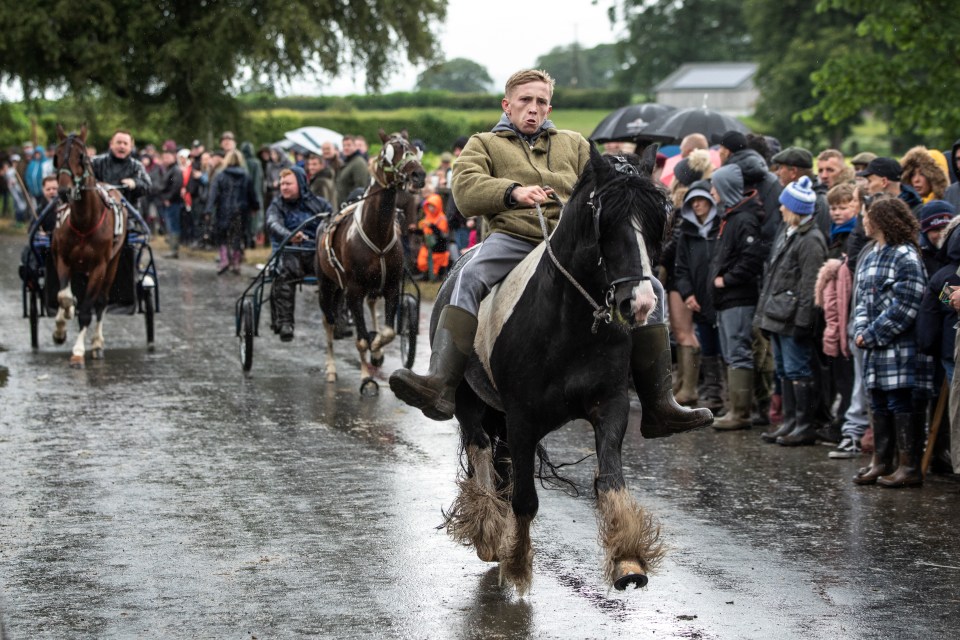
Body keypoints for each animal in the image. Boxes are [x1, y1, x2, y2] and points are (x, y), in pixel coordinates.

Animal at [50, 124, 127, 370]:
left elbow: (87, 310)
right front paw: (60, 328)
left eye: (81, 157)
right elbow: (63, 297)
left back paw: (97, 344)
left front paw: (78, 351)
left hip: (113, 263)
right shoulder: (63, 260)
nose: (63, 192)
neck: (85, 221)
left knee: (101, 303)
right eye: (56, 156)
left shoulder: (99, 267)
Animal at [316, 130, 426, 390]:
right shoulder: (354, 290)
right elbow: (361, 340)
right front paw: (366, 377)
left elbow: (387, 333)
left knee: (372, 304)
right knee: (329, 322)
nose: (418, 175)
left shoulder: (391, 286)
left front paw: (377, 351)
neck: (377, 232)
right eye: (388, 152)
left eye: (413, 149)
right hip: (327, 284)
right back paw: (331, 368)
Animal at [438, 146, 672, 596]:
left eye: (657, 220)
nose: (642, 303)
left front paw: (628, 560)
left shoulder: (610, 406)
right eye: (608, 221)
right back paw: (490, 534)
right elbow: (525, 499)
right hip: (470, 404)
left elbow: (610, 479)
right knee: (482, 454)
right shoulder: (523, 418)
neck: (573, 322)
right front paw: (516, 563)